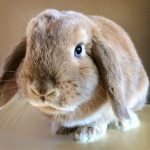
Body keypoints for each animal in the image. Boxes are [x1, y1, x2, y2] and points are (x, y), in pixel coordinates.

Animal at [0, 8, 149, 142]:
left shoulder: (108, 110)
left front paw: (87, 133)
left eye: (79, 49)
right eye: (28, 51)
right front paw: (60, 128)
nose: (41, 90)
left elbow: (102, 119)